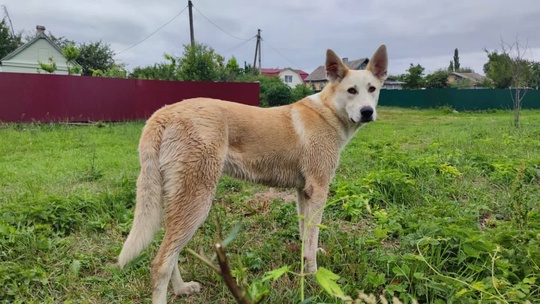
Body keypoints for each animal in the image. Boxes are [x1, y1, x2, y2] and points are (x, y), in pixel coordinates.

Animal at [118, 44, 388, 302]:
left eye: (372, 89)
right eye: (351, 90)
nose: (367, 111)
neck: (329, 112)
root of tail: (163, 113)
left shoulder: (304, 192)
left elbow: (306, 235)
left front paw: (306, 259)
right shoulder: (319, 190)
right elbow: (313, 236)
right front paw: (312, 274)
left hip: (177, 202)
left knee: (170, 252)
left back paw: (182, 289)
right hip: (196, 201)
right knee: (161, 262)